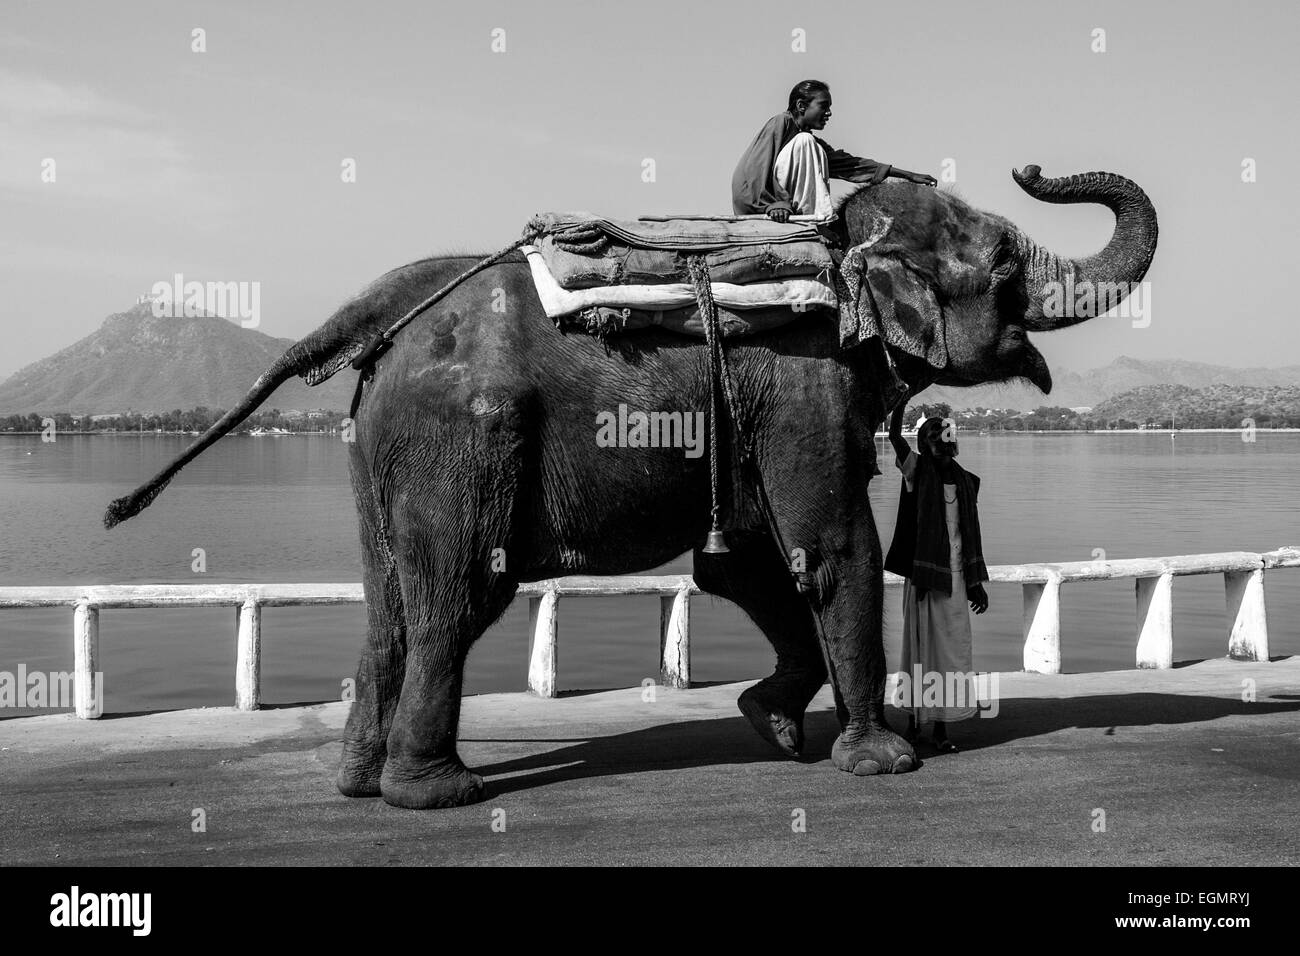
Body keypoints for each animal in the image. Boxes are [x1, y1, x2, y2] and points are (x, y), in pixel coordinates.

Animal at [105, 165, 1157, 809]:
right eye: (1009, 260)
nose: (1031, 165)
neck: (835, 240)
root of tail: (379, 316)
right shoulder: (805, 379)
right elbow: (829, 545)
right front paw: (879, 761)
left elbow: (745, 566)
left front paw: (771, 723)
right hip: (463, 438)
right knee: (457, 592)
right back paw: (438, 794)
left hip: (375, 450)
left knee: (389, 599)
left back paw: (359, 785)